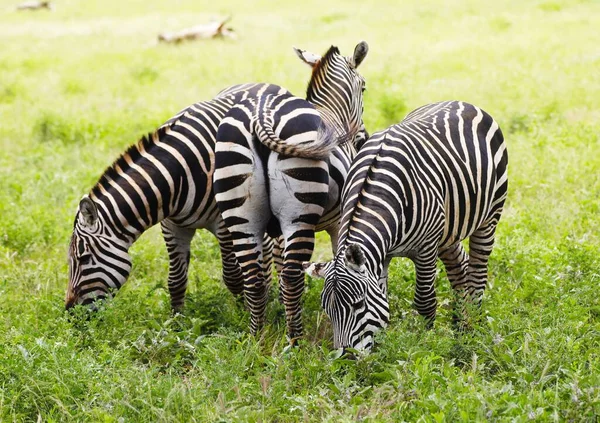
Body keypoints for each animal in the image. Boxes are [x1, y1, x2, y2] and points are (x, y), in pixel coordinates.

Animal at [211, 41, 370, 344]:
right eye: (364, 87)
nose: (363, 138)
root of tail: (261, 115)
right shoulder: (338, 222)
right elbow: (339, 261)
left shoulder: (275, 233)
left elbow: (273, 266)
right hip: (300, 216)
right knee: (292, 276)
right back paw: (296, 341)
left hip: (241, 213)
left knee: (254, 277)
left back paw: (257, 339)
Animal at [308, 101, 508, 352]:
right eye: (328, 310)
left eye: (358, 304)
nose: (347, 357)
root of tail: (461, 102)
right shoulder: (381, 255)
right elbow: (383, 302)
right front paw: (381, 350)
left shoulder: (426, 249)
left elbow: (425, 302)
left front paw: (424, 345)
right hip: (448, 229)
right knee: (460, 267)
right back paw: (459, 326)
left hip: (489, 216)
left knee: (478, 274)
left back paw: (473, 328)